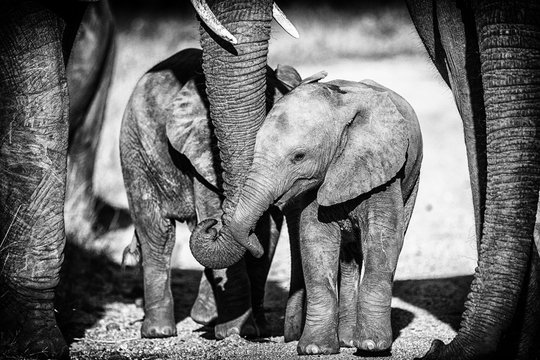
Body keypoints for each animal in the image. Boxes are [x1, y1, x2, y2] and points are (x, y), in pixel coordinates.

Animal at [119, 48, 300, 340]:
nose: (213, 226)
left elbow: (269, 231)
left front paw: (255, 330)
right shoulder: (201, 153)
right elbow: (214, 209)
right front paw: (235, 332)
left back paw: (203, 317)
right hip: (135, 148)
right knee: (157, 233)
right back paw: (160, 331)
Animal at [228, 73, 422, 354]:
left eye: (299, 156)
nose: (257, 248)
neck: (342, 109)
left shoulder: (383, 169)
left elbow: (383, 237)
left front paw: (372, 345)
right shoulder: (314, 185)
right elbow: (316, 241)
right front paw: (315, 349)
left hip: (413, 180)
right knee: (349, 257)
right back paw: (346, 340)